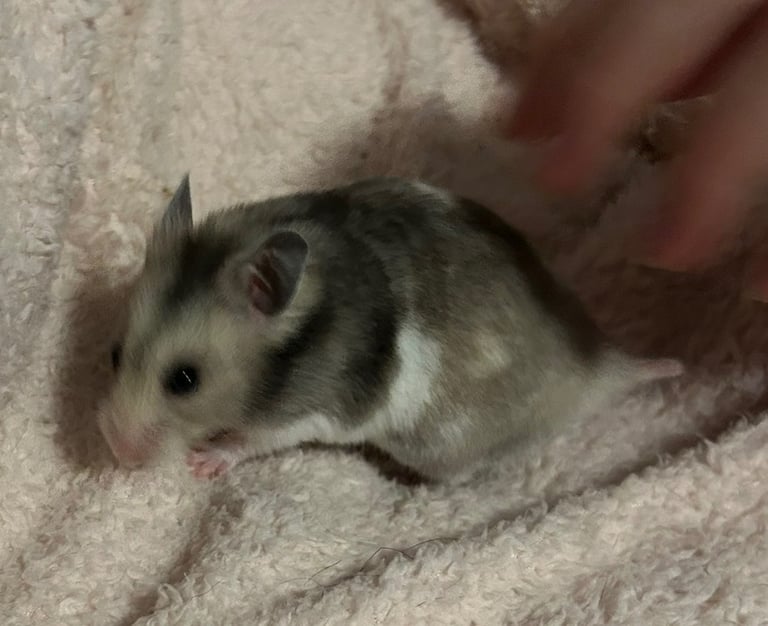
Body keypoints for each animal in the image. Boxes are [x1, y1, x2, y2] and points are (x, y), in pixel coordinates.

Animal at [98, 175, 683, 481]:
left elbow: (254, 440)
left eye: (185, 380)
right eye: (113, 353)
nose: (118, 457)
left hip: (439, 445)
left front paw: (202, 462)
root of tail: (600, 364)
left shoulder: (311, 412)